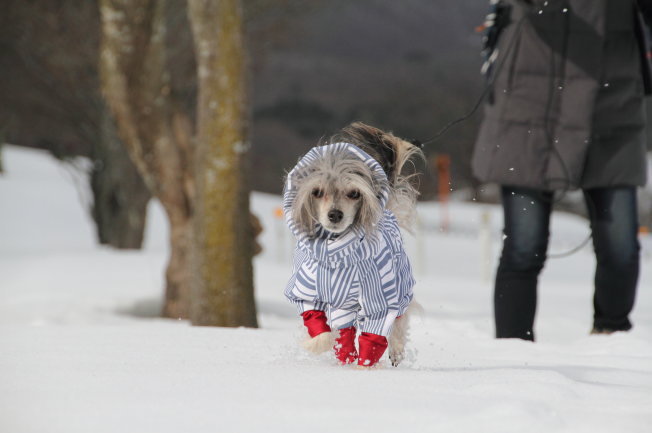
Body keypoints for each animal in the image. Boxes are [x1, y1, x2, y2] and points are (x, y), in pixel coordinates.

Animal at [282, 122, 420, 368]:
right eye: (317, 192)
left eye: (354, 193)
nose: (335, 214)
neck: (336, 255)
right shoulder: (306, 292)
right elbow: (323, 329)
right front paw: (334, 353)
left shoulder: (380, 297)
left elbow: (375, 333)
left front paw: (364, 367)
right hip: (343, 305)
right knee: (346, 327)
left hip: (400, 284)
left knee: (401, 318)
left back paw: (396, 350)